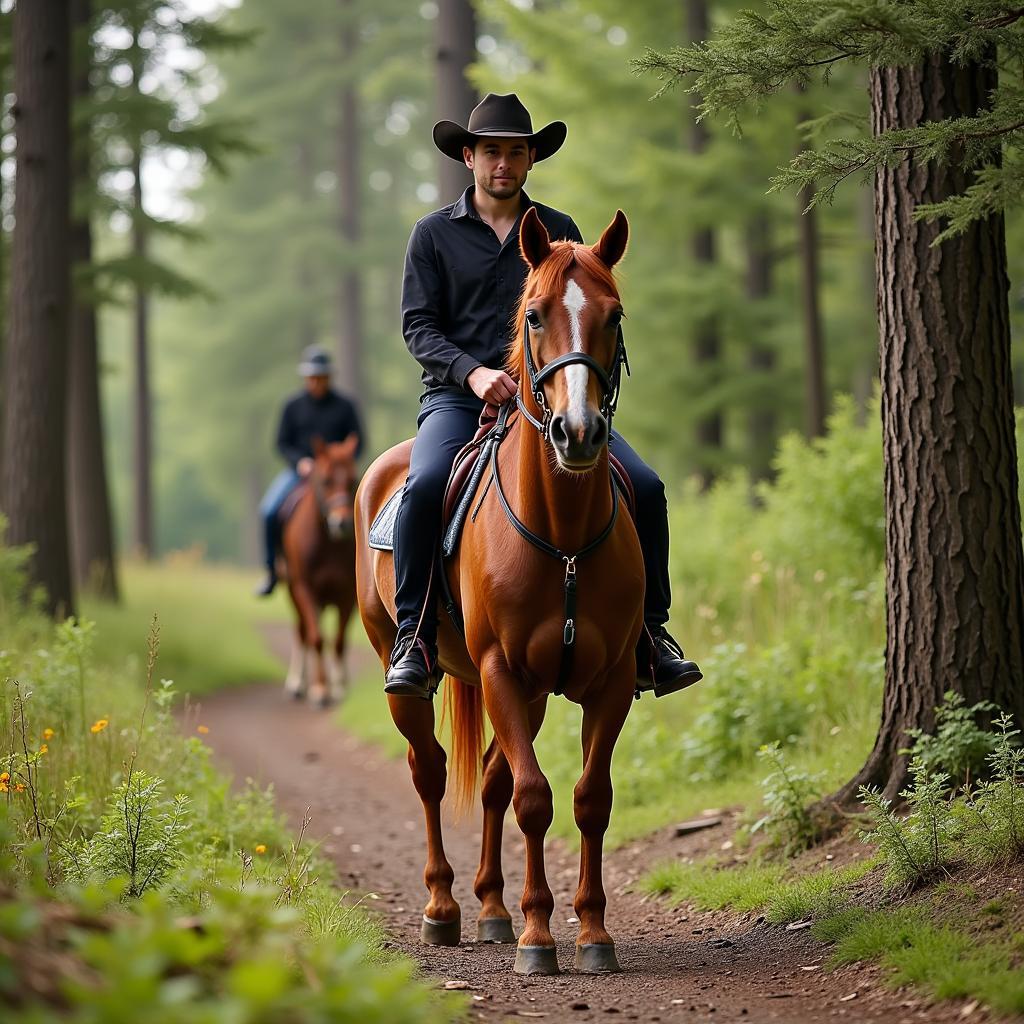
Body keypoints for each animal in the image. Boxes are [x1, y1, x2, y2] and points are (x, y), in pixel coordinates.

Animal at [282, 436, 358, 708]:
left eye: (352, 480)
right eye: (325, 481)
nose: (342, 523)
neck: (328, 543)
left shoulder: (347, 594)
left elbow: (339, 641)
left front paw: (338, 687)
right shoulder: (305, 589)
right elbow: (316, 638)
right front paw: (320, 689)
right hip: (292, 591)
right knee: (302, 632)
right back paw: (297, 684)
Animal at [352, 207, 638, 974]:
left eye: (614, 315)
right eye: (534, 314)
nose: (578, 433)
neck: (562, 535)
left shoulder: (610, 681)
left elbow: (589, 798)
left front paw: (592, 933)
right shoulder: (500, 670)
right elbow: (536, 799)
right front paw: (541, 936)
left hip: (531, 693)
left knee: (489, 778)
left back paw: (491, 909)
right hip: (408, 670)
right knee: (430, 771)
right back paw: (444, 907)